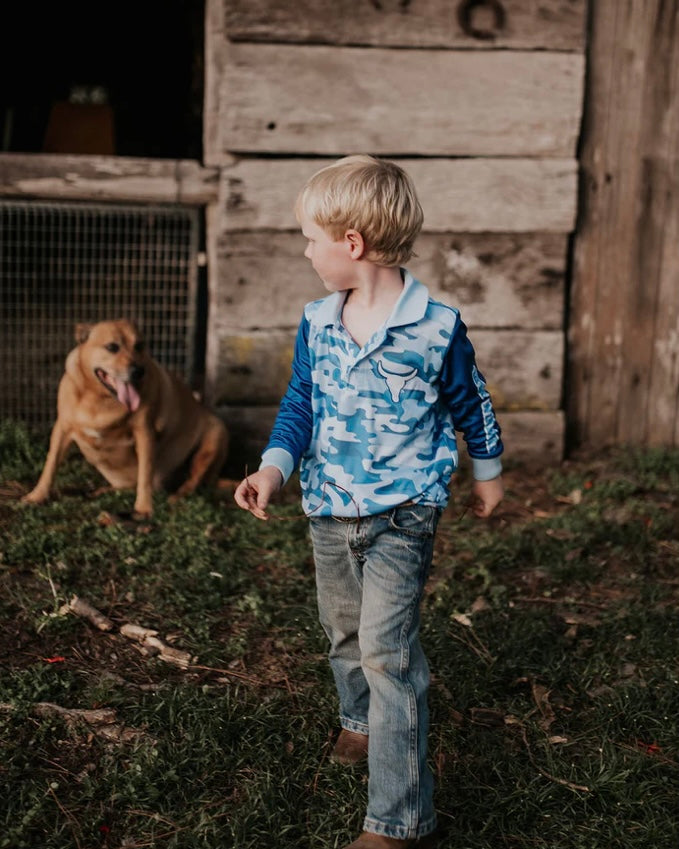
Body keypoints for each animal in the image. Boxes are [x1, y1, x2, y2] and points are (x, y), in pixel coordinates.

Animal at [22, 320, 230, 512]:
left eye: (139, 346)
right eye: (112, 347)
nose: (139, 371)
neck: (100, 399)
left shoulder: (144, 433)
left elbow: (145, 474)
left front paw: (144, 508)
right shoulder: (62, 428)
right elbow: (50, 465)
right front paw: (36, 495)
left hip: (214, 436)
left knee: (191, 482)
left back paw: (176, 497)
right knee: (128, 486)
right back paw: (102, 491)